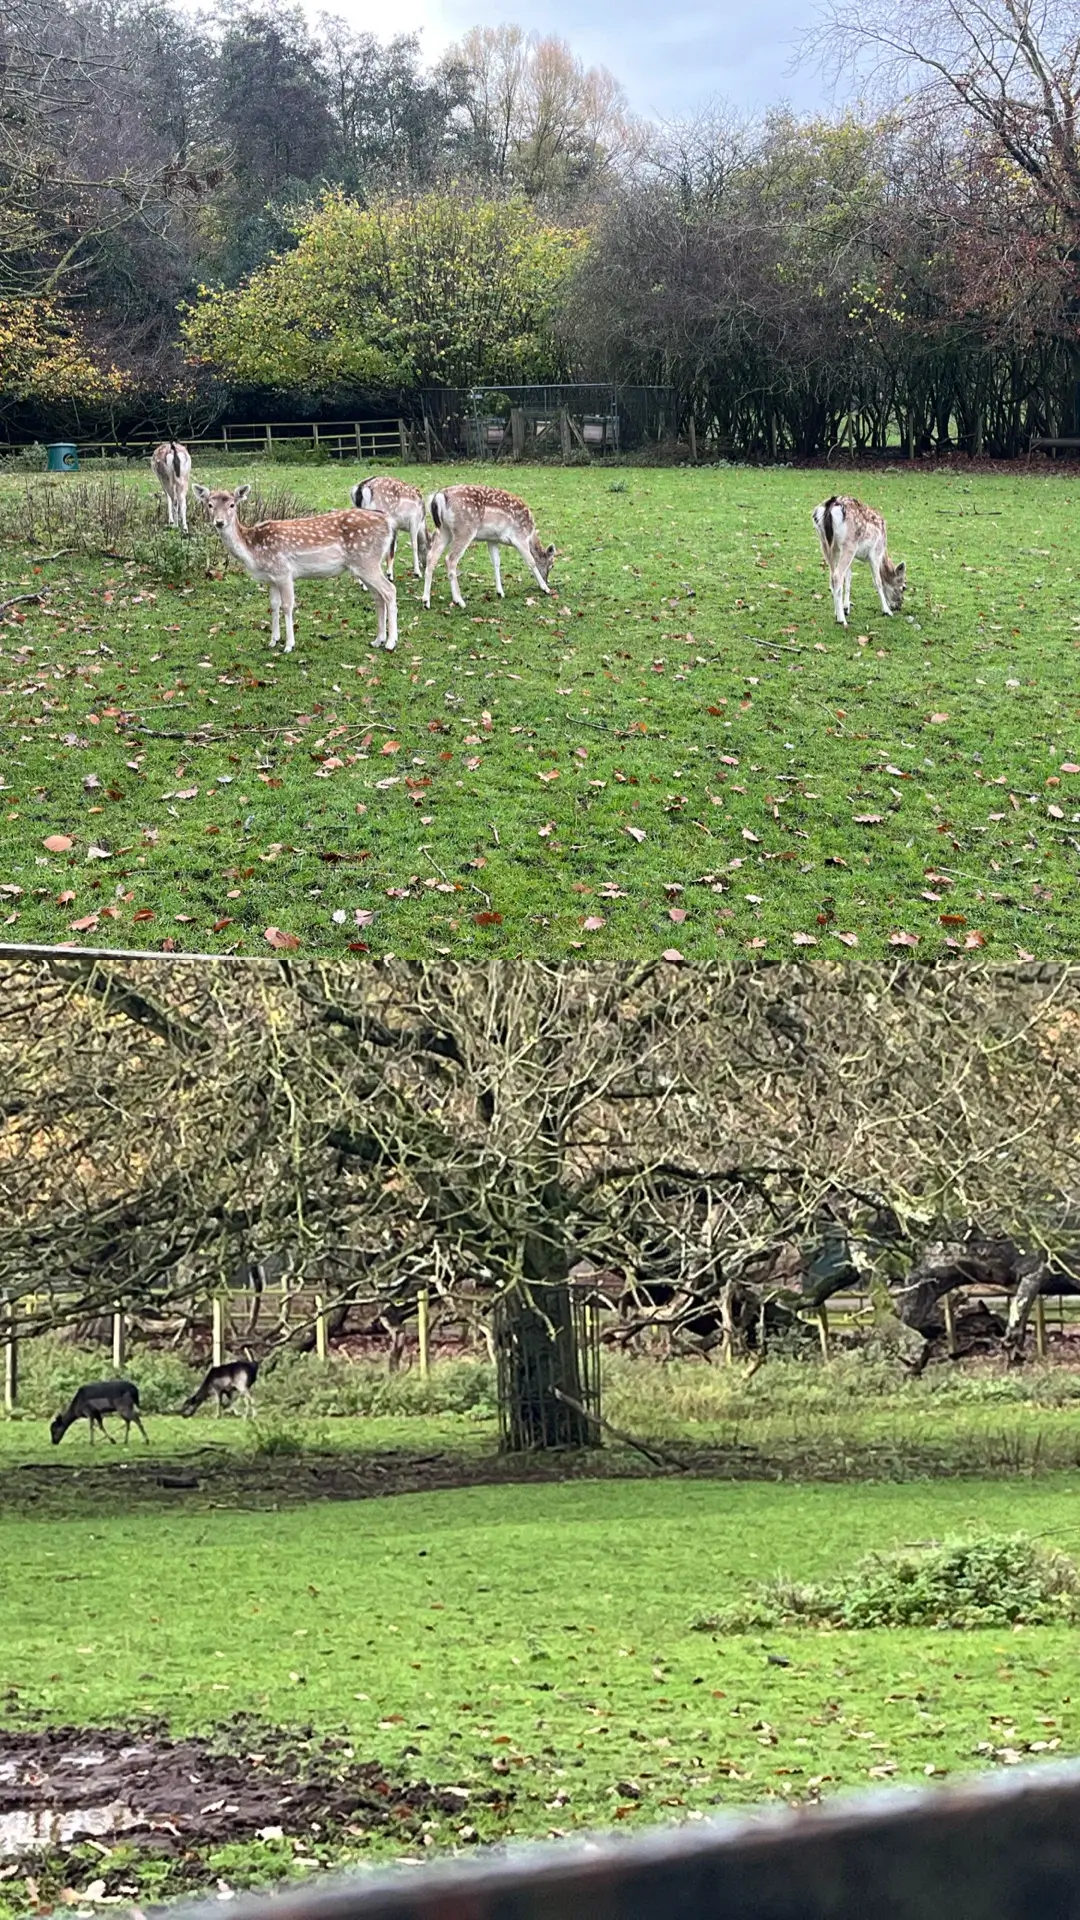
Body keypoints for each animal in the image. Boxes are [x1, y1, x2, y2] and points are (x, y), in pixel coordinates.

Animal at [193, 483, 397, 653]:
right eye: (209, 505)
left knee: (389, 590)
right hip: (363, 566)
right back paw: (377, 640)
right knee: (378, 596)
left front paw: (289, 645)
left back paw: (390, 643)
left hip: (367, 561)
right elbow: (273, 605)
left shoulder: (283, 572)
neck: (252, 550)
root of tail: (388, 522)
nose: (219, 522)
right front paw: (273, 640)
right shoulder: (271, 578)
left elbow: (287, 606)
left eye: (232, 505)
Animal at [422, 485, 555, 611]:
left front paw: (500, 592)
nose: (546, 579)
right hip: (464, 529)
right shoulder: (519, 537)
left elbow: (496, 562)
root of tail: (439, 497)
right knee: (450, 559)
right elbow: (531, 561)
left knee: (431, 556)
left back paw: (426, 601)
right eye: (551, 565)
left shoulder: (492, 540)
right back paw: (459, 601)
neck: (530, 534)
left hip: (444, 530)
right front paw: (545, 588)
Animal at [812, 495, 906, 627]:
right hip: (849, 544)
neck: (884, 551)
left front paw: (846, 608)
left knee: (832, 576)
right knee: (837, 576)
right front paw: (887, 611)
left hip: (825, 544)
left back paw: (837, 613)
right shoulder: (875, 553)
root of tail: (829, 506)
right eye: (903, 587)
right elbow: (877, 581)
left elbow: (849, 577)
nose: (899, 606)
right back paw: (841, 620)